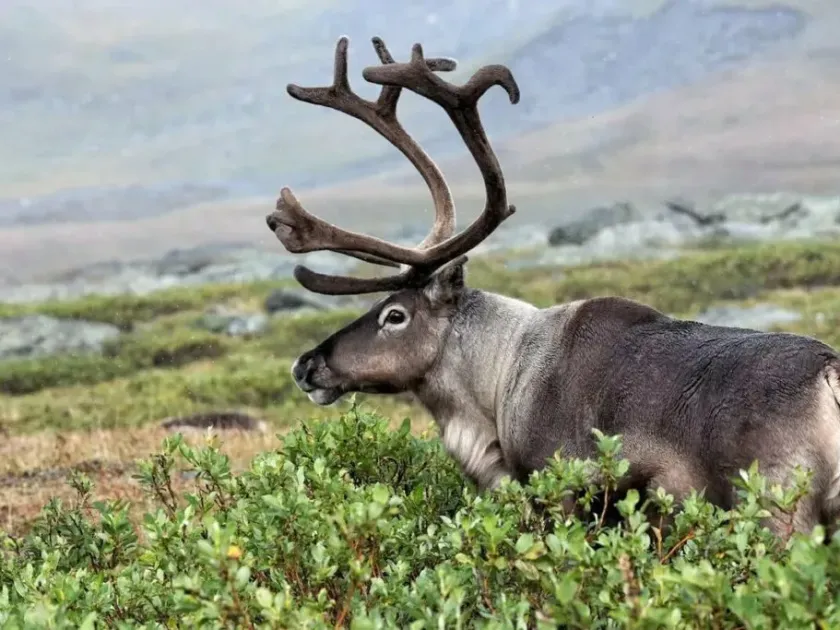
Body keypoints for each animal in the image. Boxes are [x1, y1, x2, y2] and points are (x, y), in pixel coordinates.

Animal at [264, 35, 840, 536]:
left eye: (395, 315)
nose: (306, 364)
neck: (501, 378)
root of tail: (830, 377)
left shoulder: (558, 488)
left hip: (778, 509)